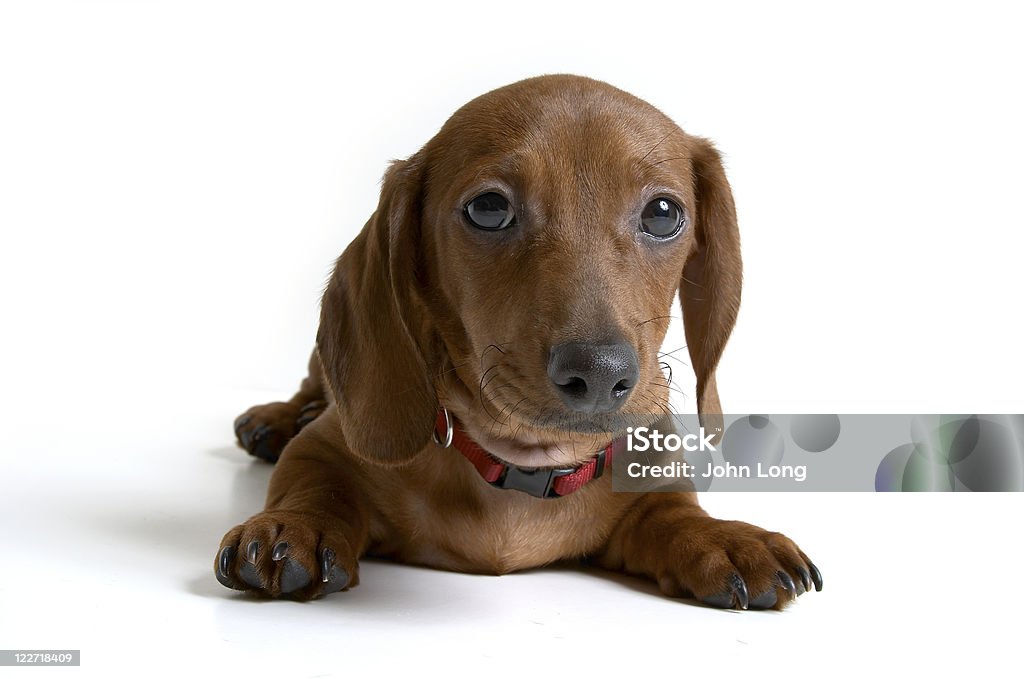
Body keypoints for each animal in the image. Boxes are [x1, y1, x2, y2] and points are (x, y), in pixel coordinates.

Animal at [218, 74, 823, 610]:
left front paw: (724, 537)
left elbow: (673, 514)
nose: (600, 373)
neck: (527, 465)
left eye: (663, 213)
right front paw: (297, 526)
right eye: (489, 208)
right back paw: (276, 418)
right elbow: (316, 481)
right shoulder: (324, 447)